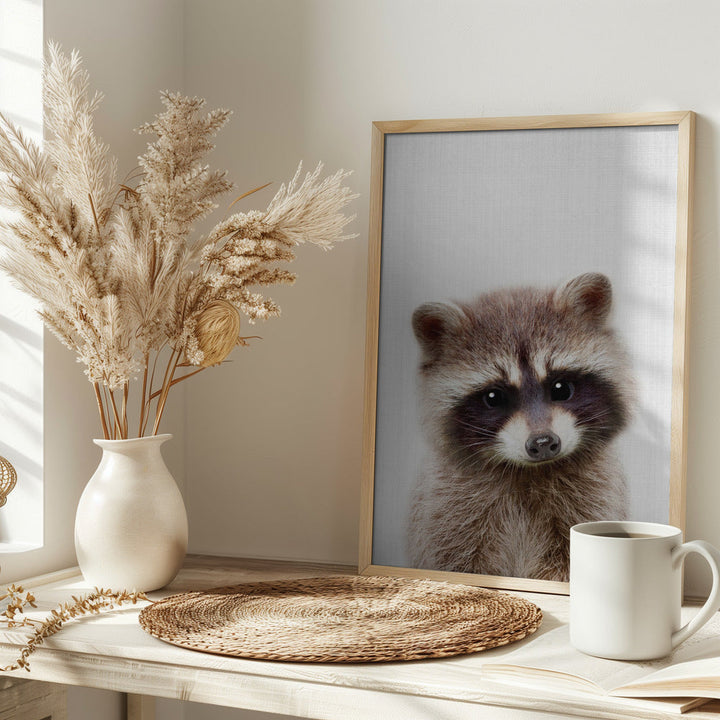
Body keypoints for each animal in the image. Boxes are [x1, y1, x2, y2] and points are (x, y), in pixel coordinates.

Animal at [408, 272, 633, 582]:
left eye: (561, 388)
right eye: (494, 397)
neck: (528, 472)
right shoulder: (448, 513)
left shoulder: (592, 500)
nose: (543, 443)